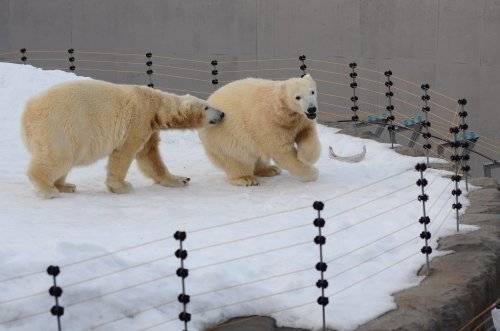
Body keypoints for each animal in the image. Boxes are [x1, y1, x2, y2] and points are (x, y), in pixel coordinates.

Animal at [21, 80, 225, 200]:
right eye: (207, 107)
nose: (222, 113)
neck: (155, 104)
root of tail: (27, 115)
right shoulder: (139, 119)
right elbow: (124, 153)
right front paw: (122, 187)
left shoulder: (149, 127)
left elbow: (150, 156)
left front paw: (180, 179)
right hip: (62, 126)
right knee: (58, 157)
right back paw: (48, 189)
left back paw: (66, 185)